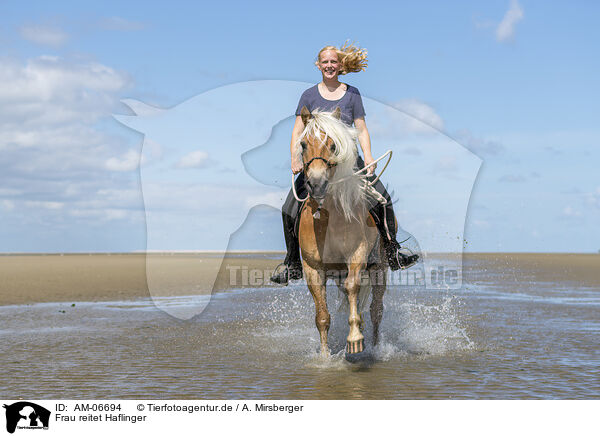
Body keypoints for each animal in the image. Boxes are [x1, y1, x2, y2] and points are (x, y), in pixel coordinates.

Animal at [296, 107, 390, 356]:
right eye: (303, 144)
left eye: (333, 145)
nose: (317, 184)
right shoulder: (313, 268)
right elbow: (322, 316)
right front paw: (324, 356)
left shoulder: (357, 255)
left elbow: (352, 286)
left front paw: (355, 339)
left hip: (380, 268)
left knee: (376, 309)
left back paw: (375, 346)